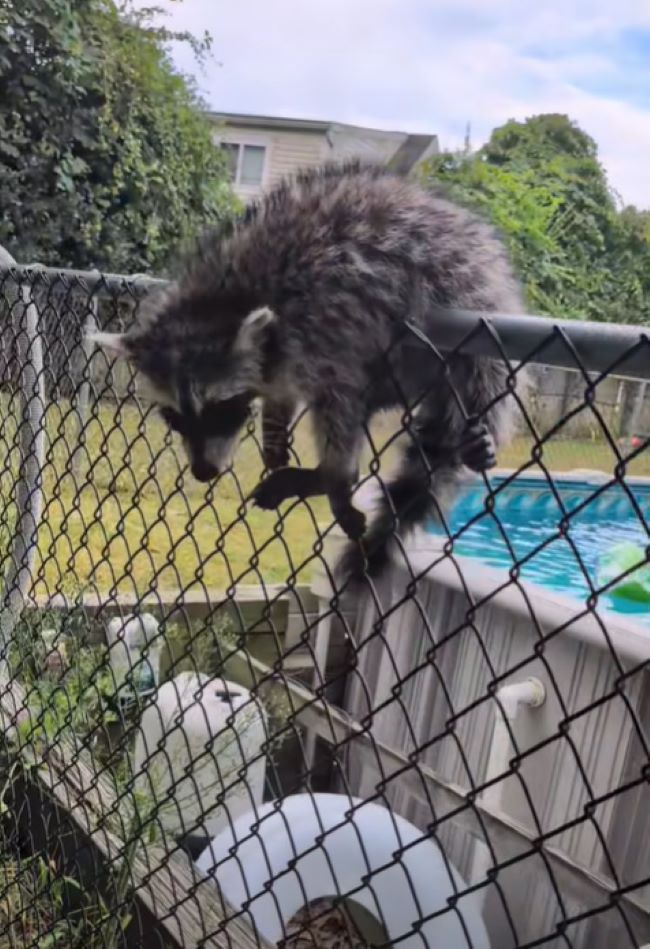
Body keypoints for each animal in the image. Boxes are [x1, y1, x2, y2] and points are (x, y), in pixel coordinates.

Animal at [90, 162, 524, 578]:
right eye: (174, 418)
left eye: (220, 410)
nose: (202, 472)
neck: (215, 304)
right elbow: (283, 390)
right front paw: (274, 422)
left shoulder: (327, 323)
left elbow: (338, 400)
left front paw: (337, 479)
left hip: (474, 304)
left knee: (481, 376)